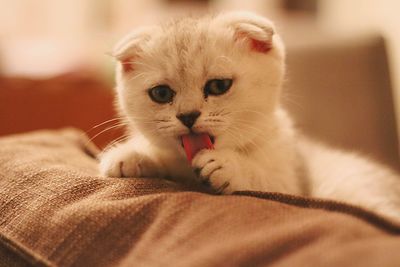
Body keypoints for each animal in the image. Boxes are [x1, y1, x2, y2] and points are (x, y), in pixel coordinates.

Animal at [99, 11, 400, 221]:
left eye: (218, 86)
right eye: (161, 94)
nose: (188, 115)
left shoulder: (291, 181)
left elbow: (265, 179)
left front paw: (228, 166)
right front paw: (129, 155)